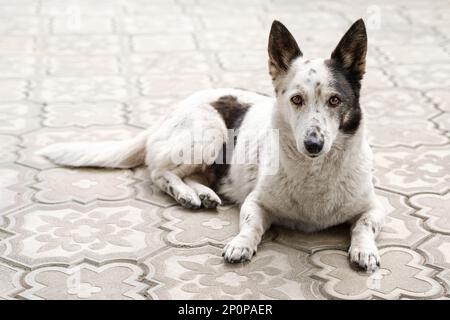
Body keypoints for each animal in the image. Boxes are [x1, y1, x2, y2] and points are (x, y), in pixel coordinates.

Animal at [37, 18, 384, 272]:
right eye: (297, 99)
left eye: (335, 100)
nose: (313, 144)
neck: (315, 173)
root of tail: (168, 112)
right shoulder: (256, 203)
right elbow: (250, 226)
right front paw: (241, 243)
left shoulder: (376, 207)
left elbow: (363, 225)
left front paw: (364, 250)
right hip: (209, 132)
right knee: (159, 173)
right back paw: (187, 195)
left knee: (189, 175)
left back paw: (202, 194)